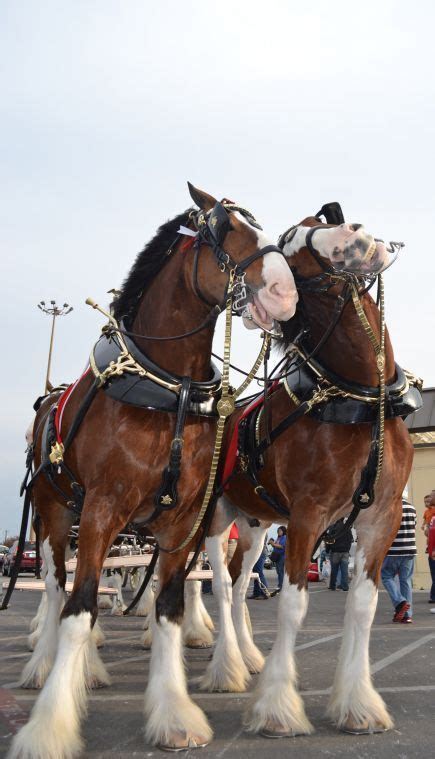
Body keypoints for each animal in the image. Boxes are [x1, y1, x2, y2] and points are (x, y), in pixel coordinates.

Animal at [9, 186, 300, 759]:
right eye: (226, 229)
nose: (285, 292)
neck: (170, 390)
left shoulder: (184, 521)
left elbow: (167, 607)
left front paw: (173, 715)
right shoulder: (101, 510)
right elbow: (79, 608)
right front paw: (48, 728)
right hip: (55, 515)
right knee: (55, 588)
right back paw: (43, 664)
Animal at [203, 211, 418, 740]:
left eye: (323, 219)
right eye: (288, 250)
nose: (355, 237)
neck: (360, 398)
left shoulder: (380, 518)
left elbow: (362, 605)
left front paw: (357, 704)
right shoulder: (308, 514)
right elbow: (292, 604)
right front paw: (278, 708)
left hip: (256, 528)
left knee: (240, 583)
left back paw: (248, 656)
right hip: (213, 520)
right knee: (218, 584)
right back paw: (225, 667)